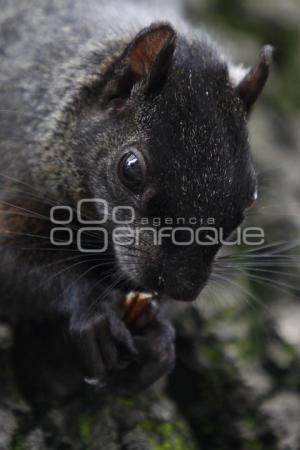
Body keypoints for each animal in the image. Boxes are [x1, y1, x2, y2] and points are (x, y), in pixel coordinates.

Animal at [0, 0, 272, 394]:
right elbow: (16, 263)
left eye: (251, 195)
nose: (182, 288)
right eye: (131, 169)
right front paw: (93, 309)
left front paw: (160, 339)